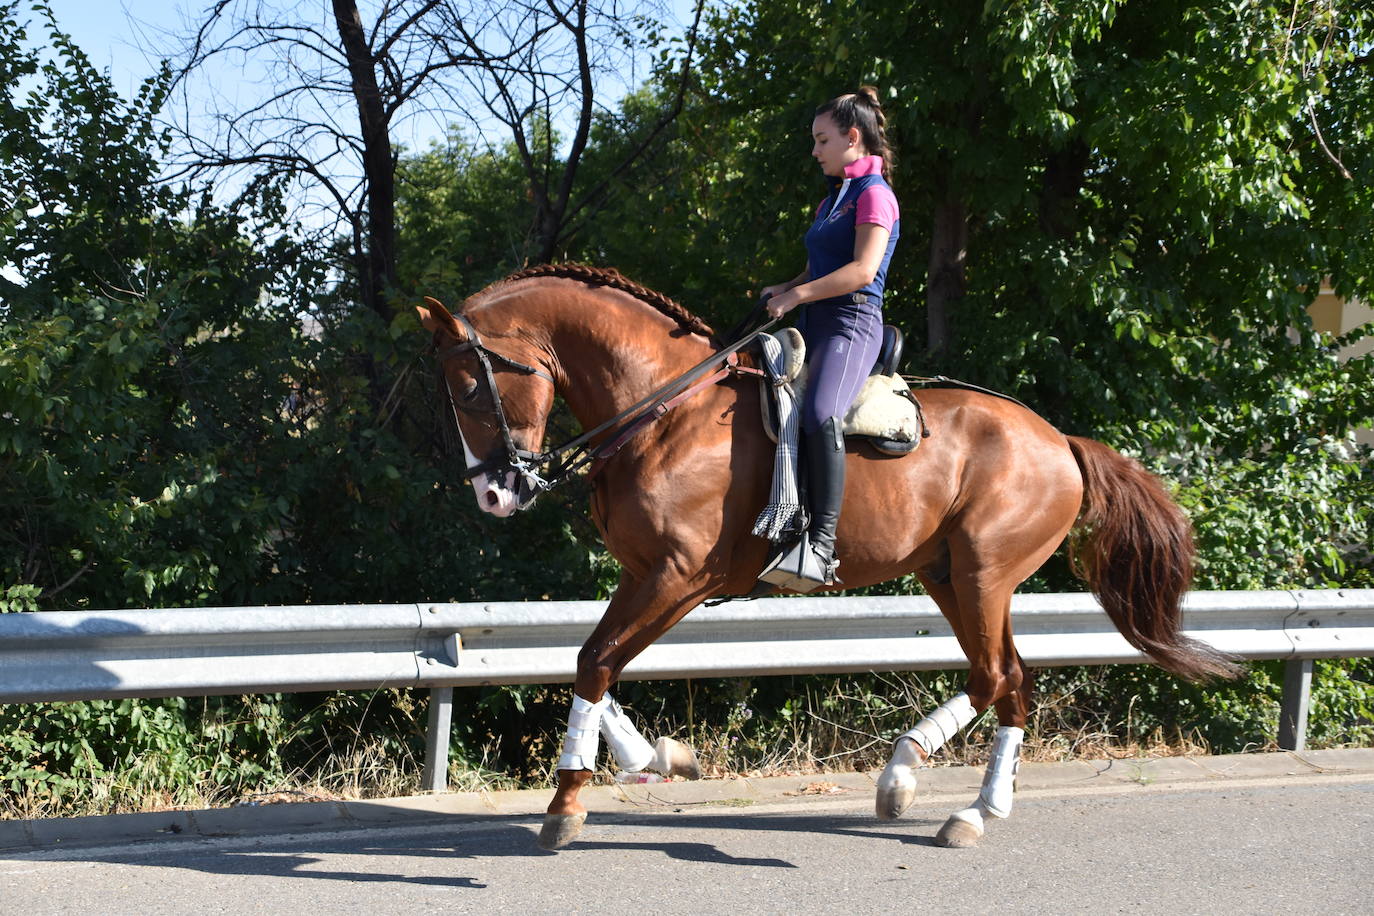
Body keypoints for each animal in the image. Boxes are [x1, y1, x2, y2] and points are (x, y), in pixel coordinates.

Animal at [414, 263, 1236, 851]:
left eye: (472, 386)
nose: (495, 494)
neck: (665, 414)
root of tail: (1061, 440)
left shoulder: (682, 577)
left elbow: (597, 663)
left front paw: (566, 802)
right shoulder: (643, 574)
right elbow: (590, 662)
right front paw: (660, 759)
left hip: (983, 573)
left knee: (999, 675)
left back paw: (946, 800)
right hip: (949, 574)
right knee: (1003, 676)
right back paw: (940, 794)